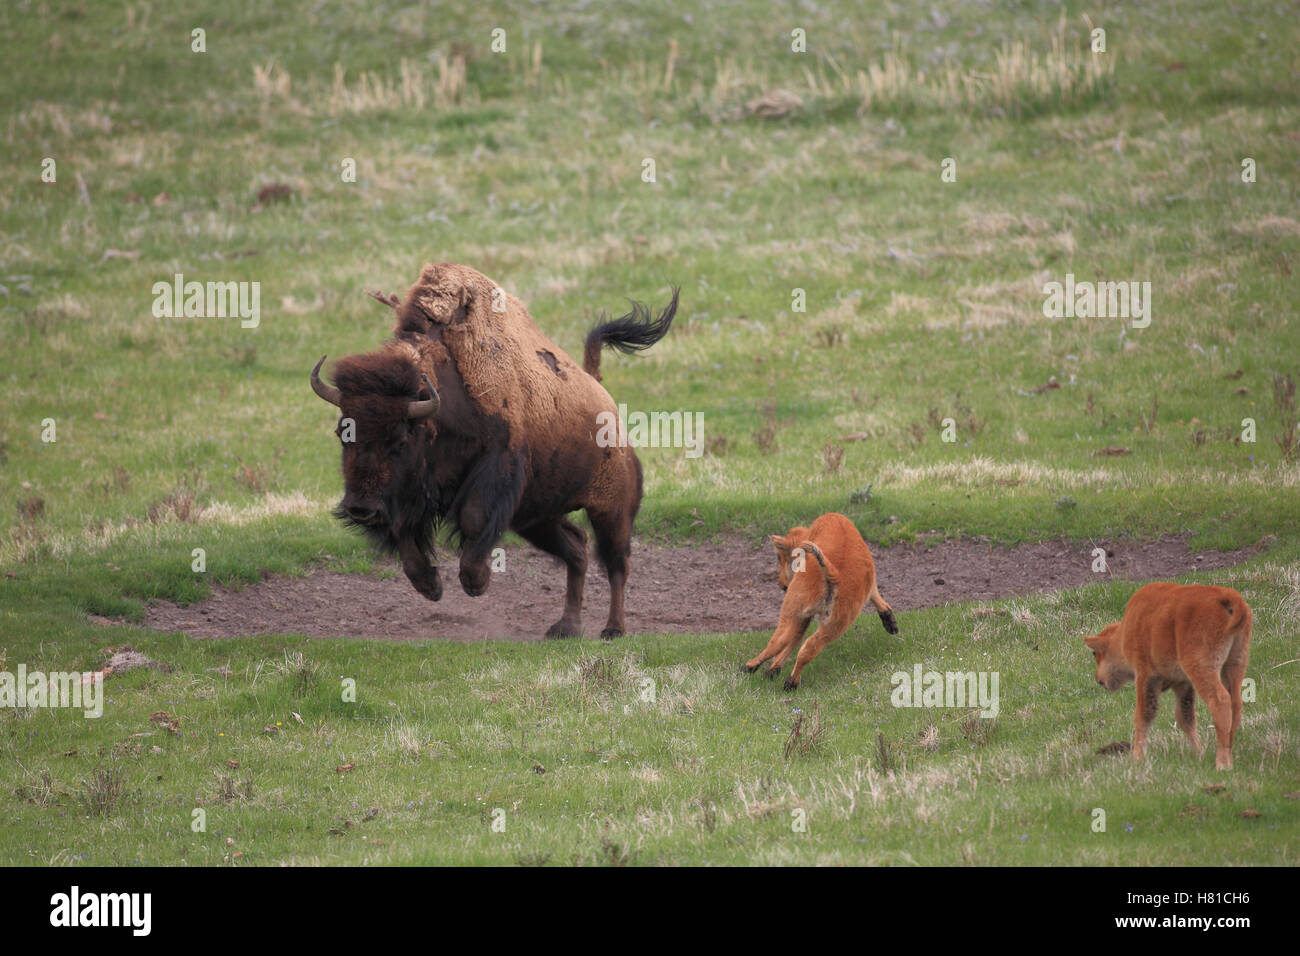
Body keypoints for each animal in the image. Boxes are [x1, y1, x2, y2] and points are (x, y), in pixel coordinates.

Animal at [310, 262, 677, 639]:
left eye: (400, 440)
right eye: (342, 433)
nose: (360, 508)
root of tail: (606, 402)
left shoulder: (497, 468)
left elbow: (472, 519)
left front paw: (476, 582)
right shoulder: (414, 493)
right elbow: (403, 531)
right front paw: (431, 586)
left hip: (610, 509)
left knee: (617, 563)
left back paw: (612, 629)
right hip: (537, 517)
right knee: (577, 549)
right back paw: (566, 626)